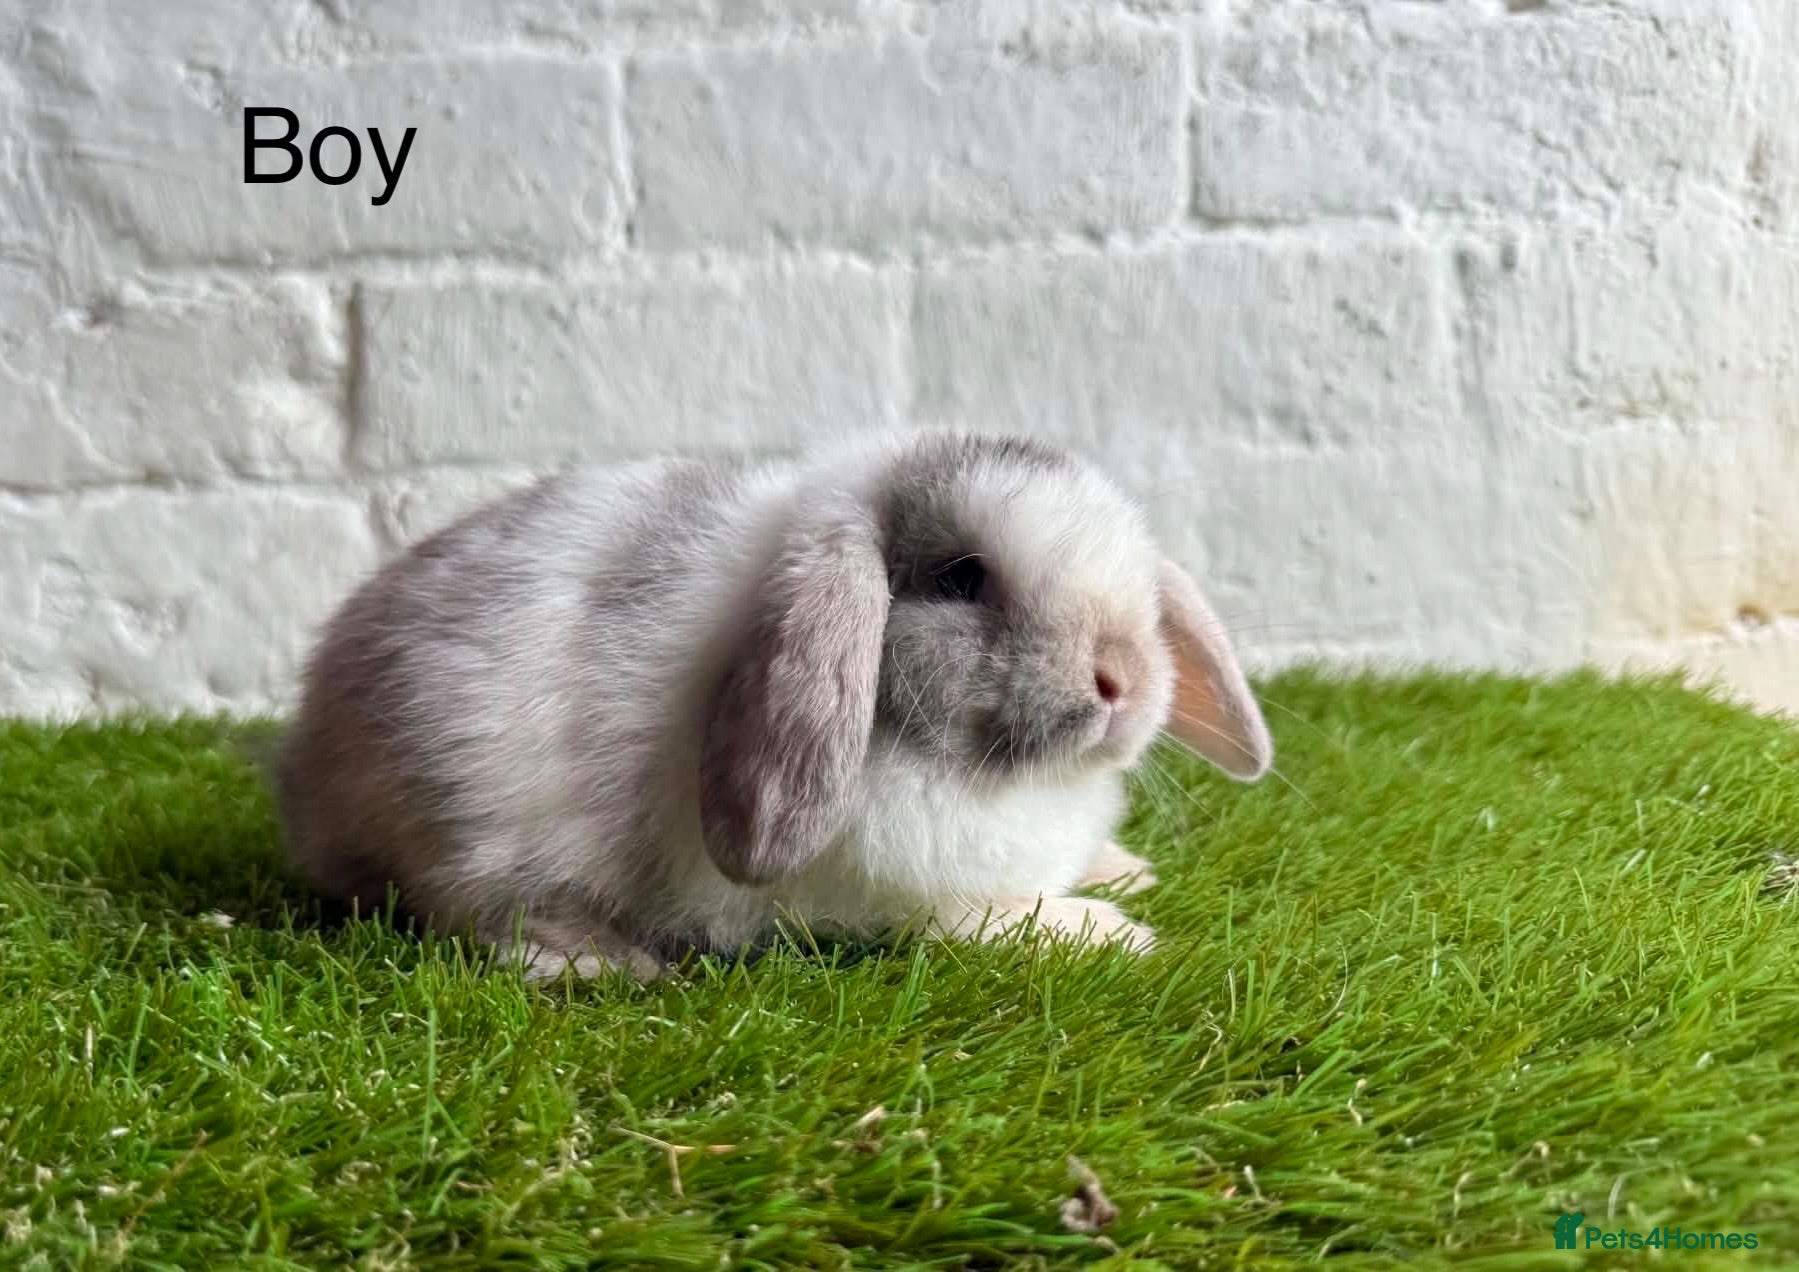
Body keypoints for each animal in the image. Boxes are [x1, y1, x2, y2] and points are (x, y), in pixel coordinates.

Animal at [274, 432, 1272, 980]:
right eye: (962, 578)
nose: (1122, 678)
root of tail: (307, 782)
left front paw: (1120, 871)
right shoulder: (901, 891)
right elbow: (979, 914)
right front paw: (1107, 932)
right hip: (471, 812)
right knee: (476, 907)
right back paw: (598, 960)